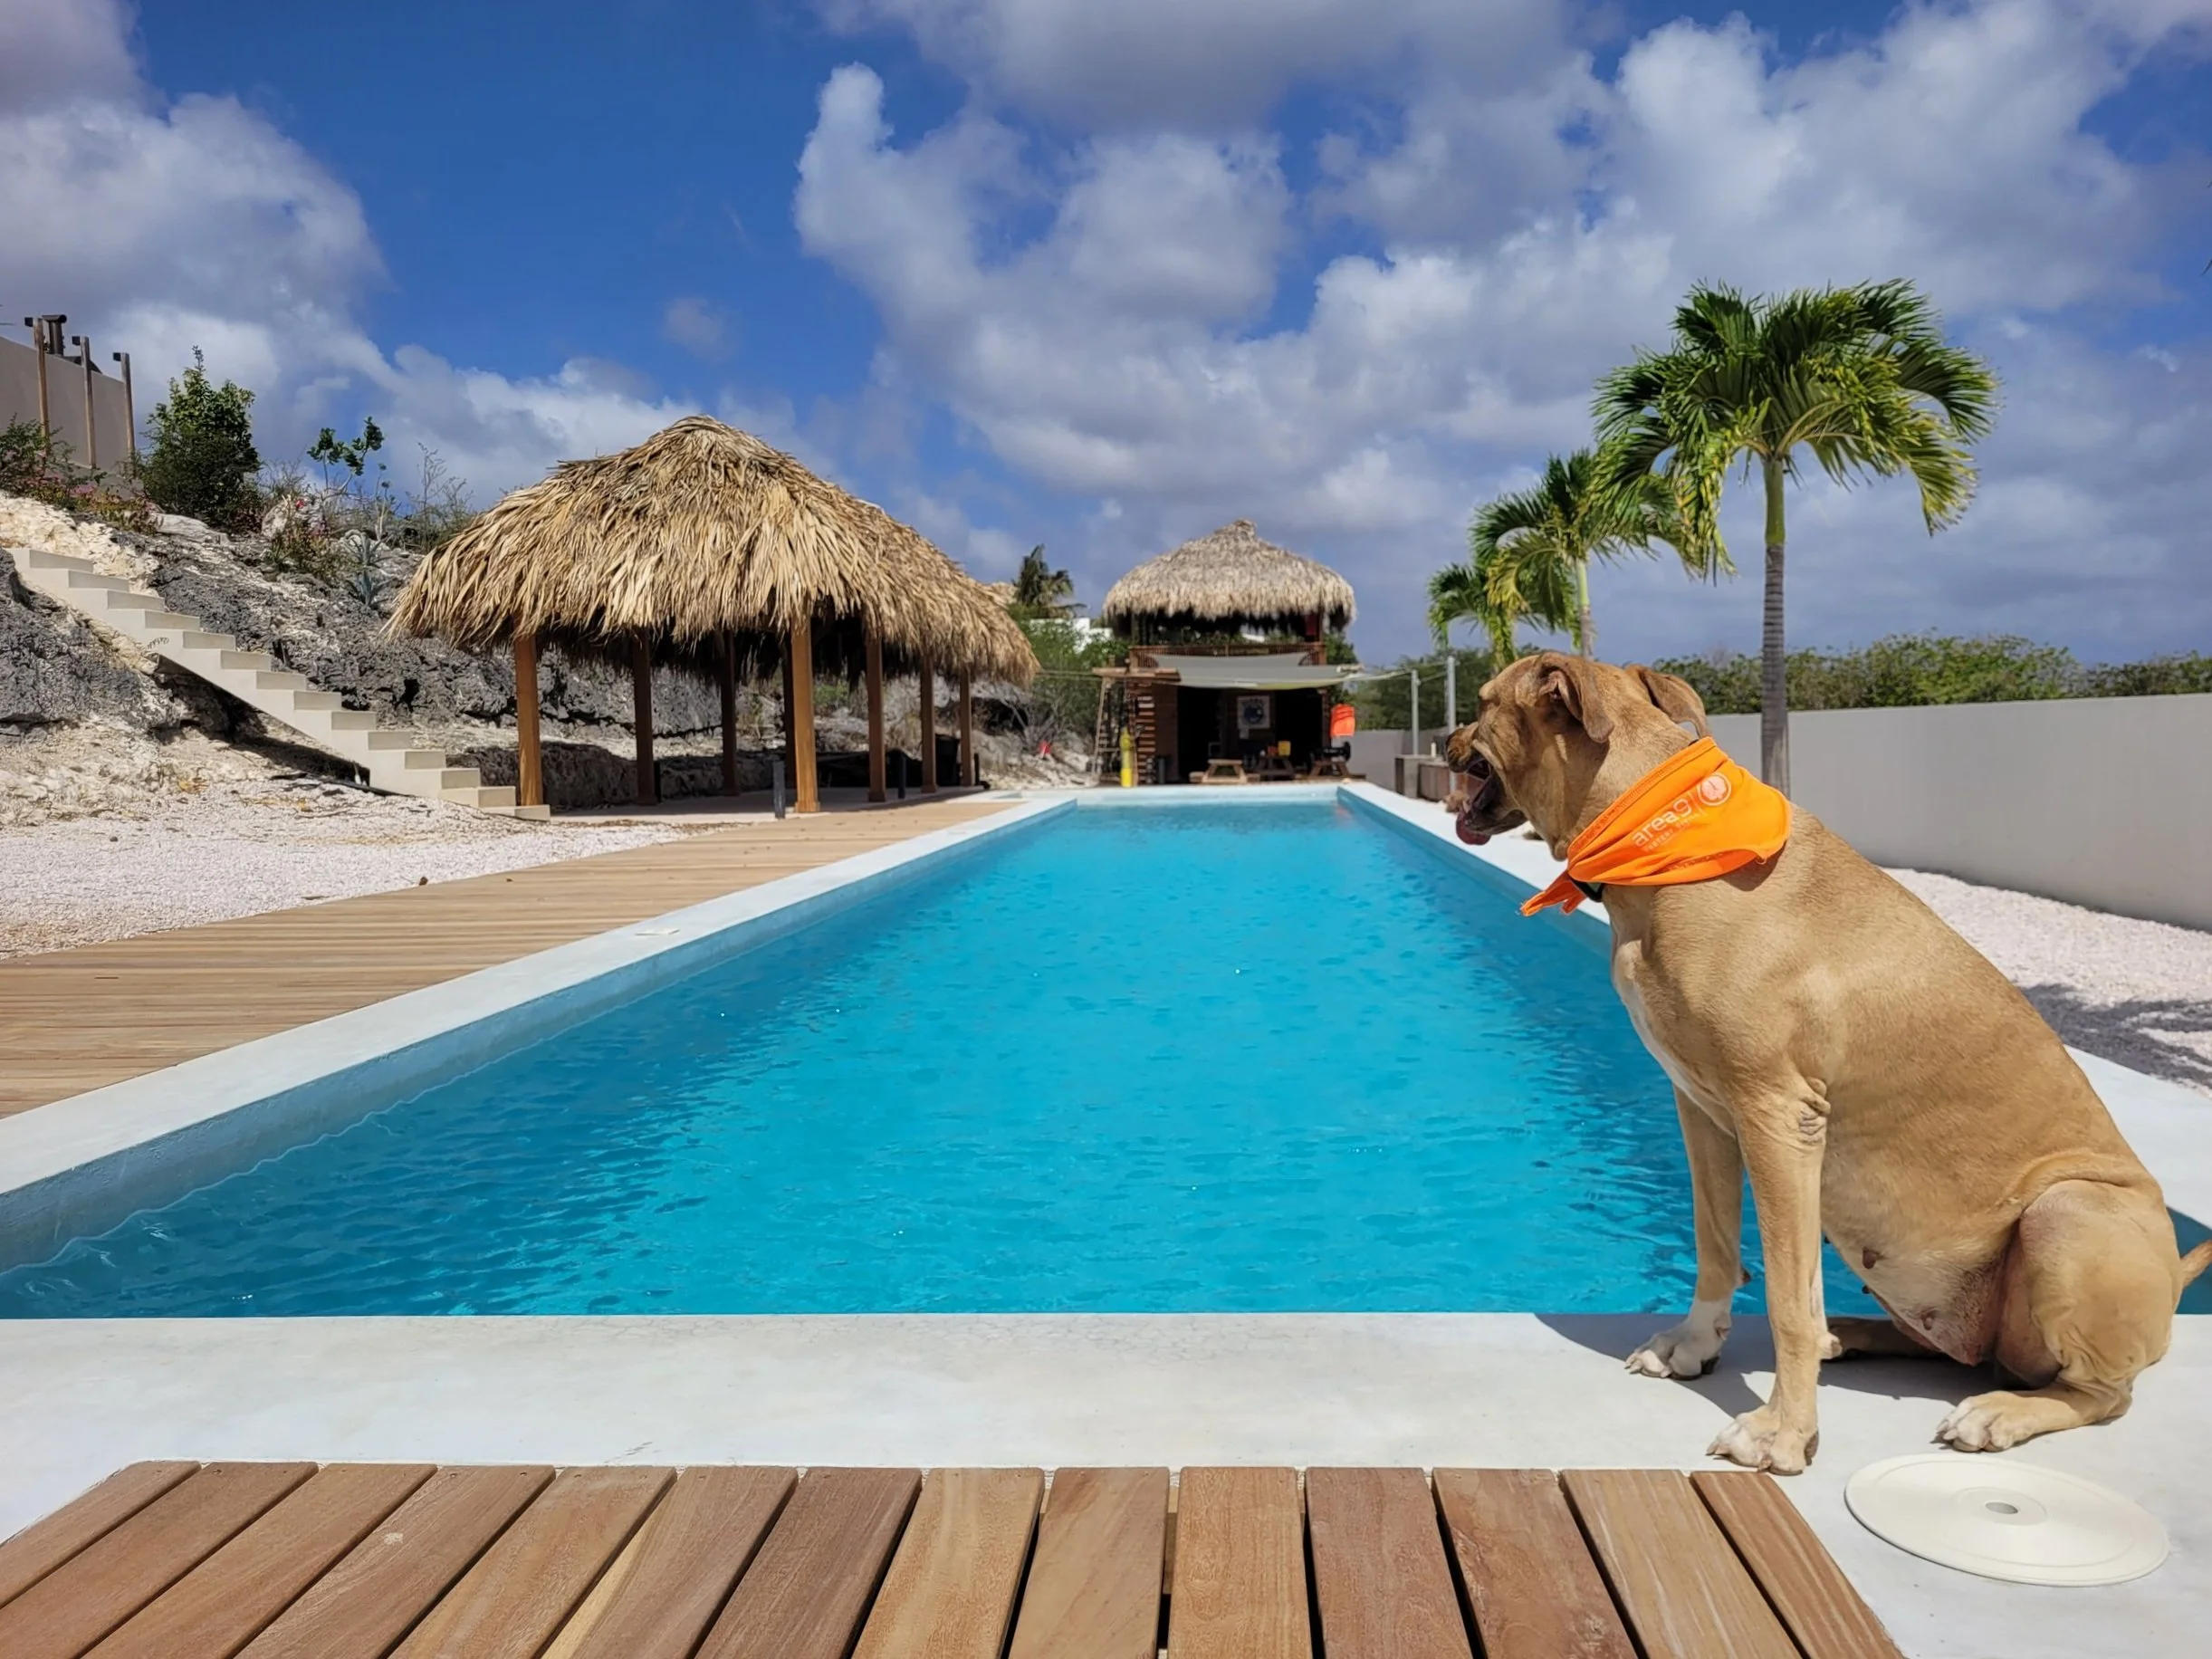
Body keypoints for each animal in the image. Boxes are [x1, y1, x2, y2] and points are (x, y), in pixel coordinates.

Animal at [1446, 651, 2209, 1472]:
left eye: (1483, 702)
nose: (1447, 737)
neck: (1654, 827)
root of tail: (2172, 1285)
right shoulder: (1702, 1109)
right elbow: (1716, 1245)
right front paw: (1694, 1344)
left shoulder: (1778, 1117)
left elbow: (1785, 1297)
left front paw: (1781, 1431)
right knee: (1940, 1345)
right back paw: (1850, 1336)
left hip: (2068, 1212)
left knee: (2099, 1392)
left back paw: (1998, 1411)